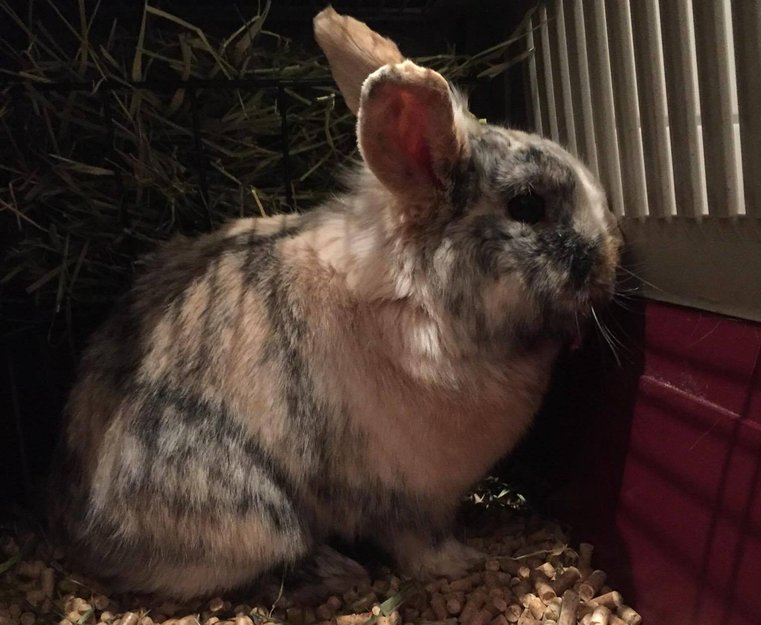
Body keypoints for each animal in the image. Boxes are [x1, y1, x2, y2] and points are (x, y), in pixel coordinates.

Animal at [47, 6, 621, 600]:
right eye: (527, 205)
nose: (610, 257)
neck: (421, 300)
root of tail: (82, 535)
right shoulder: (407, 500)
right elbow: (417, 542)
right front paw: (459, 562)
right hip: (257, 514)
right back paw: (339, 570)